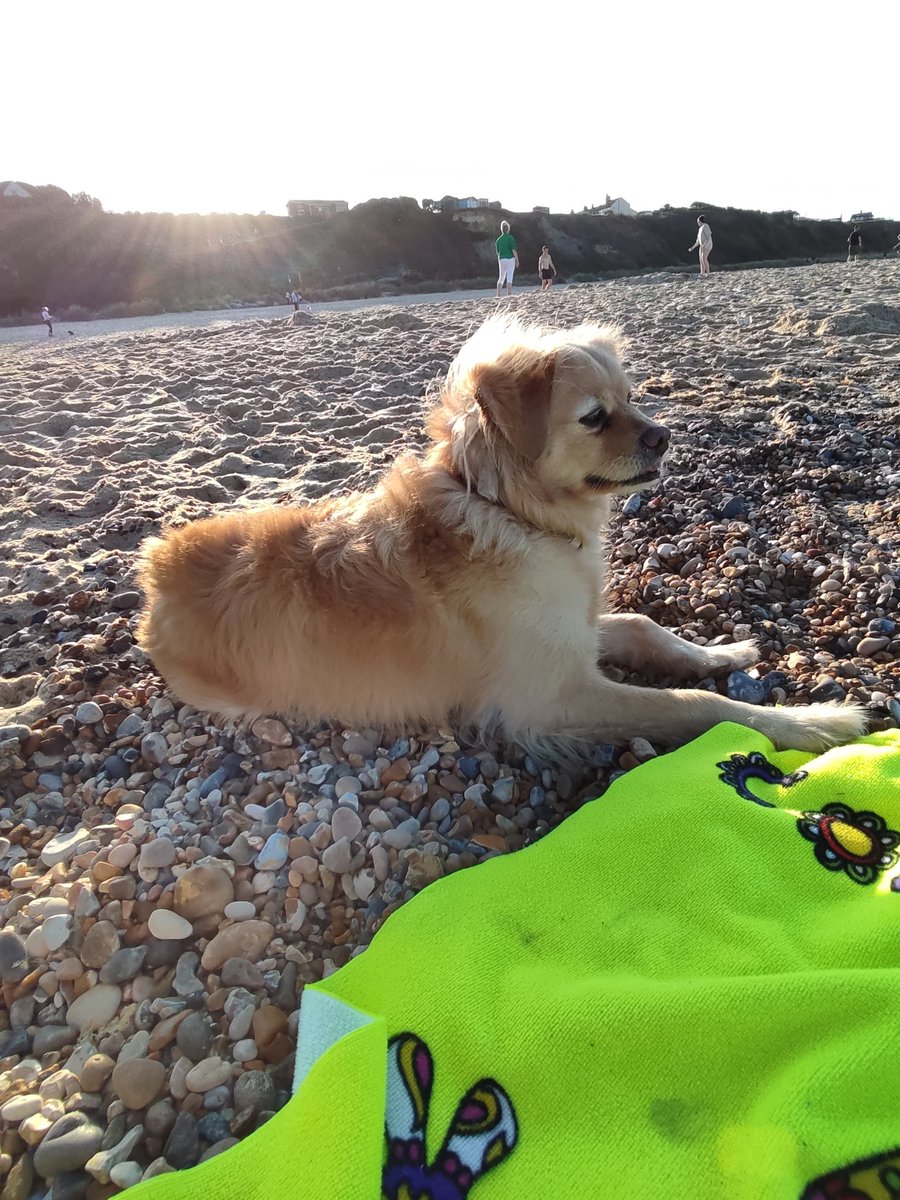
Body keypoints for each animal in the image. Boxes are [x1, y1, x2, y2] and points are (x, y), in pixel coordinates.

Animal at [139, 314, 868, 753]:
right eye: (595, 416)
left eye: (632, 399)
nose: (666, 436)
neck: (519, 516)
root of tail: (158, 567)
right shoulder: (550, 698)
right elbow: (699, 706)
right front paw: (813, 722)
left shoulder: (573, 632)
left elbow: (643, 626)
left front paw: (725, 651)